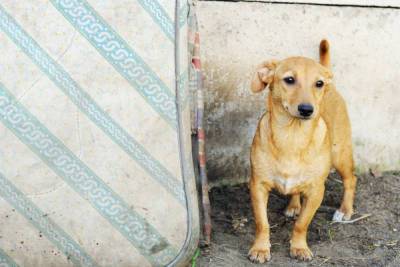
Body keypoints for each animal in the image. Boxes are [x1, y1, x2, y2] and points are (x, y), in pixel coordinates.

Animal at [248, 40, 358, 264]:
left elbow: (302, 224)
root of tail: (332, 84)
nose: (307, 109)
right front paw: (261, 248)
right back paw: (294, 205)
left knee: (351, 180)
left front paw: (299, 247)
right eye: (289, 80)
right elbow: (262, 223)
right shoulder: (257, 186)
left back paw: (345, 210)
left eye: (318, 84)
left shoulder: (316, 191)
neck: (292, 137)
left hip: (341, 155)